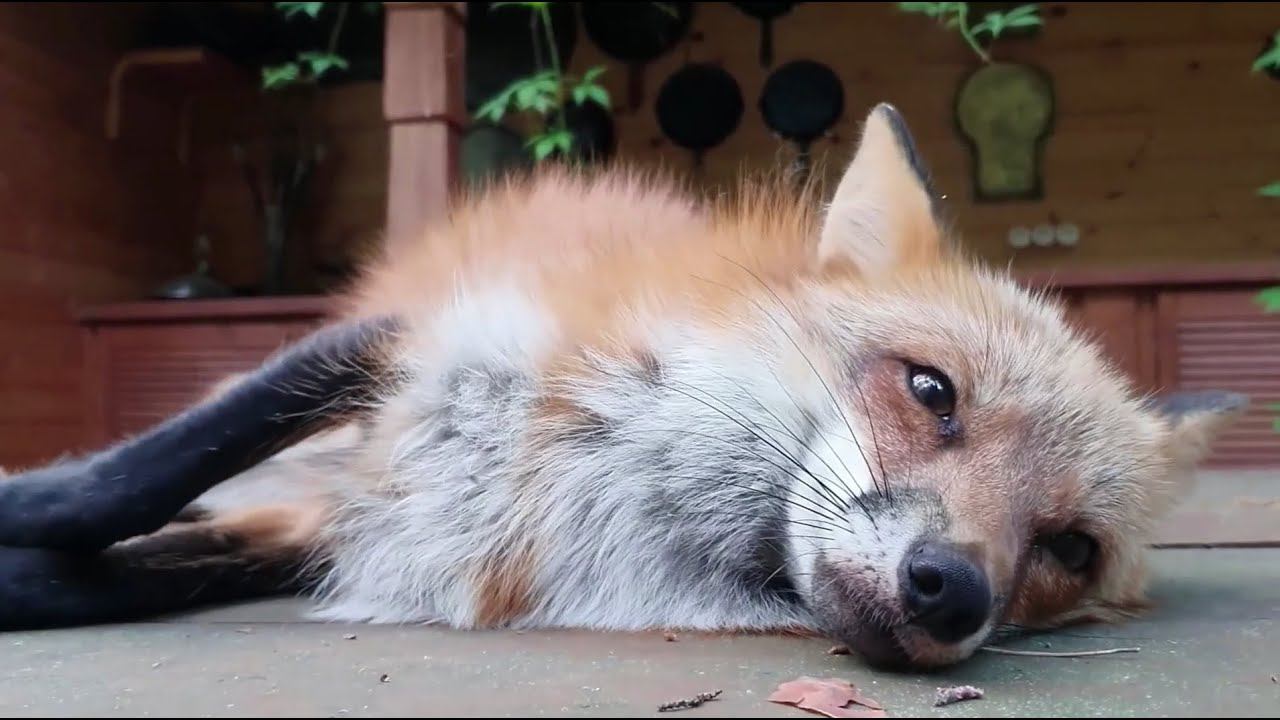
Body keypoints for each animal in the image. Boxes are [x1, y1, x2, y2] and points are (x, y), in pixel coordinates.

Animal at [0, 104, 1246, 670]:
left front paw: (34, 575)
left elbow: (119, 576)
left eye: (1068, 548)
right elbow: (147, 468)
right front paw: (30, 505)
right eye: (931, 390)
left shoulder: (378, 529)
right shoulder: (419, 339)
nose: (951, 593)